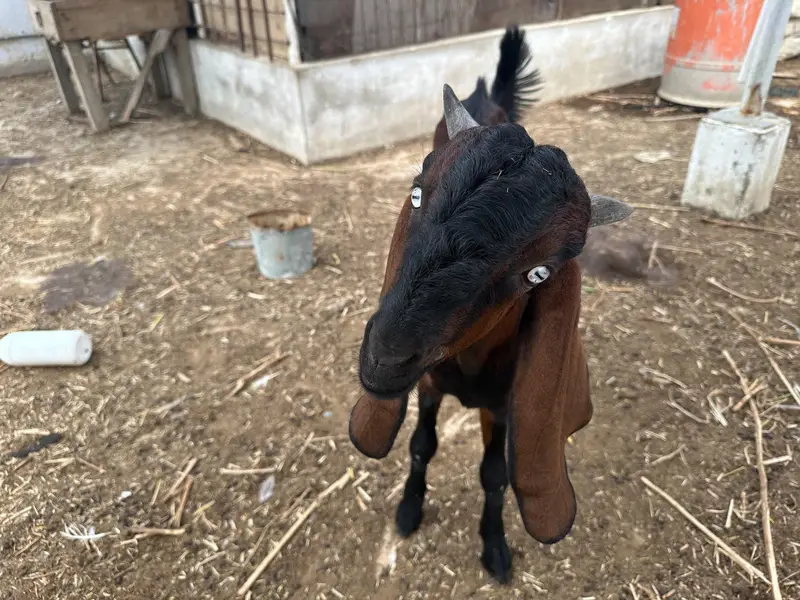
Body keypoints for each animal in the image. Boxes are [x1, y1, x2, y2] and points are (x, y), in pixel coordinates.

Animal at [348, 26, 633, 583]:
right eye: (417, 193)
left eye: (538, 273)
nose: (386, 356)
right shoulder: (428, 385)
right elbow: (421, 446)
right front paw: (410, 509)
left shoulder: (502, 405)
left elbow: (496, 473)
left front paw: (495, 546)